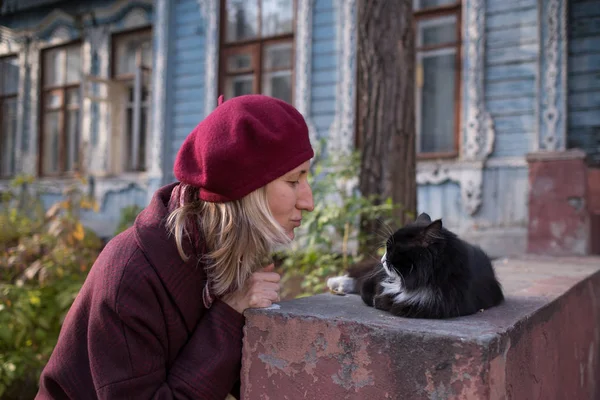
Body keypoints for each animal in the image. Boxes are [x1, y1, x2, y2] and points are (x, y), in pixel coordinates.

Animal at [326, 212, 504, 318]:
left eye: (392, 249)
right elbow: (368, 292)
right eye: (386, 247)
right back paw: (336, 283)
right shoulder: (374, 282)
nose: (382, 259)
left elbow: (389, 302)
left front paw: (382, 300)